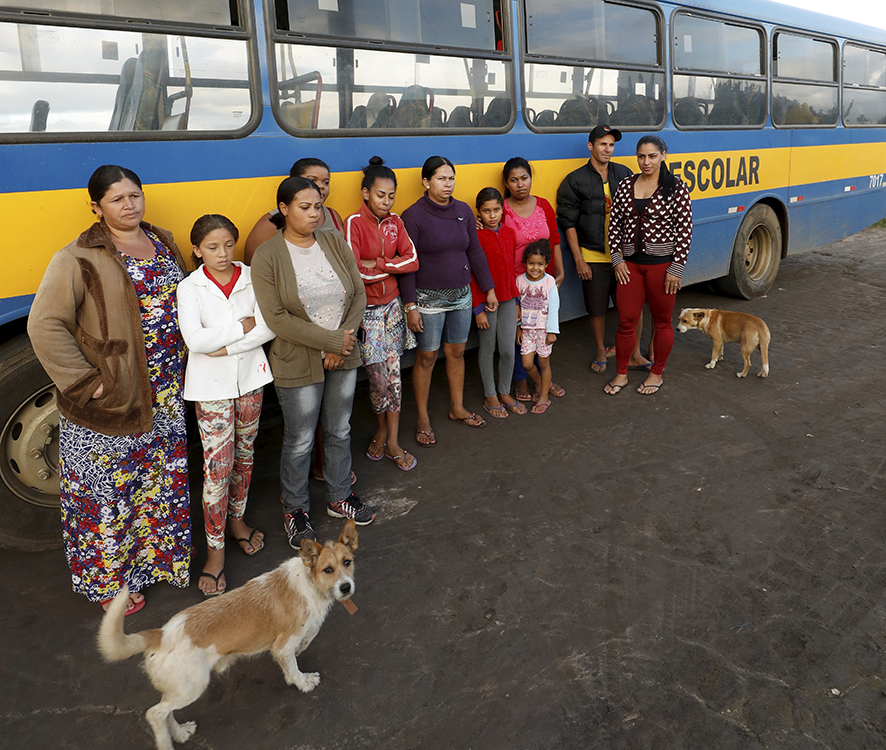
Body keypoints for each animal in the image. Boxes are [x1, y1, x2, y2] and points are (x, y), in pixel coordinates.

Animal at [98, 524, 360, 750]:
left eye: (347, 563)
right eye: (328, 570)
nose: (346, 588)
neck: (309, 579)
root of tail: (161, 634)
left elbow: (308, 637)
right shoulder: (282, 645)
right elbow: (294, 663)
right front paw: (303, 682)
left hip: (180, 686)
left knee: (165, 712)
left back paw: (180, 732)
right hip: (194, 685)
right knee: (155, 713)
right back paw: (165, 742)